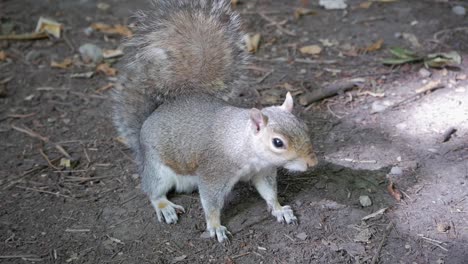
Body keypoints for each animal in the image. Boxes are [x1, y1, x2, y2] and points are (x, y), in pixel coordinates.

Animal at [113, 0, 318, 242]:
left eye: (304, 127)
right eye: (278, 142)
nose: (312, 163)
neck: (243, 144)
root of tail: (149, 119)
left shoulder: (262, 171)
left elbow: (268, 191)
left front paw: (279, 209)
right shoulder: (214, 172)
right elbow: (211, 202)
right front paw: (215, 226)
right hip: (157, 167)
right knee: (152, 189)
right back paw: (164, 206)